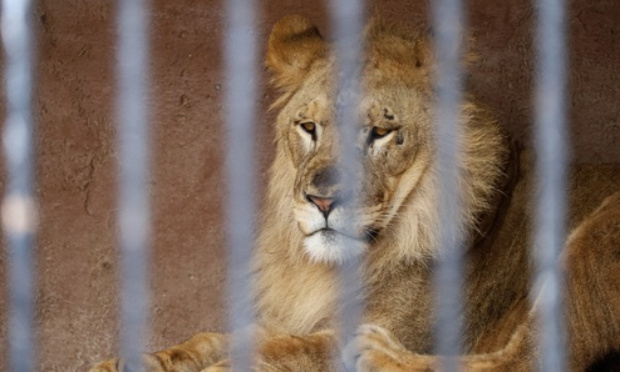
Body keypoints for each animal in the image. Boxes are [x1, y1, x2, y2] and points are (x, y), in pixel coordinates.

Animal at [91, 15, 620, 372]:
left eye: (382, 133)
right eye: (309, 127)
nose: (322, 201)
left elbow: (287, 350)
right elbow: (216, 337)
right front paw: (136, 361)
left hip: (595, 236)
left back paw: (381, 355)